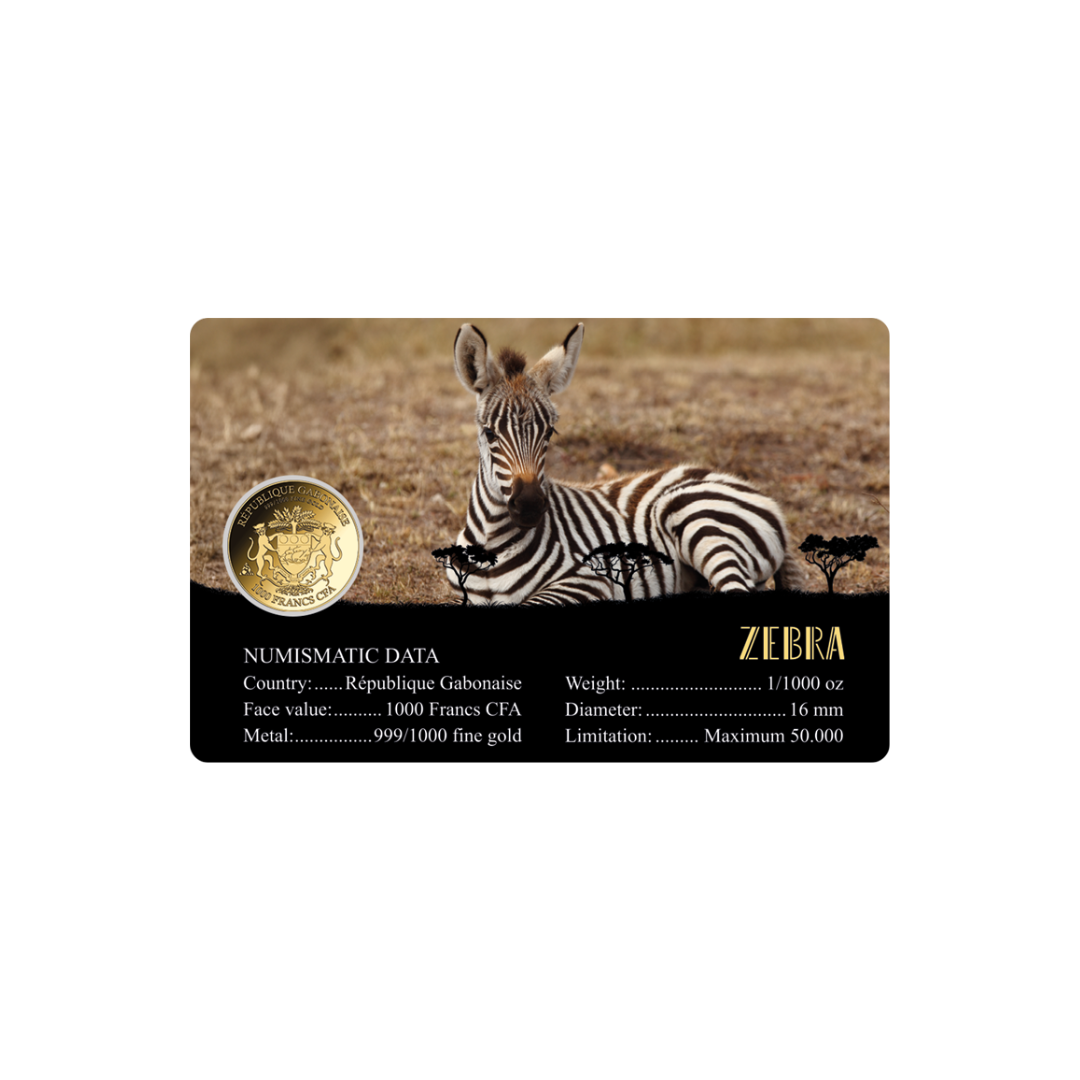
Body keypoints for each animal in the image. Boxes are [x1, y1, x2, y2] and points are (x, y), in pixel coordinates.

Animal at [448, 321, 799, 605]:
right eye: (489, 433)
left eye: (550, 432)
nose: (531, 506)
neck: (493, 540)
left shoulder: (588, 580)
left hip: (695, 516)